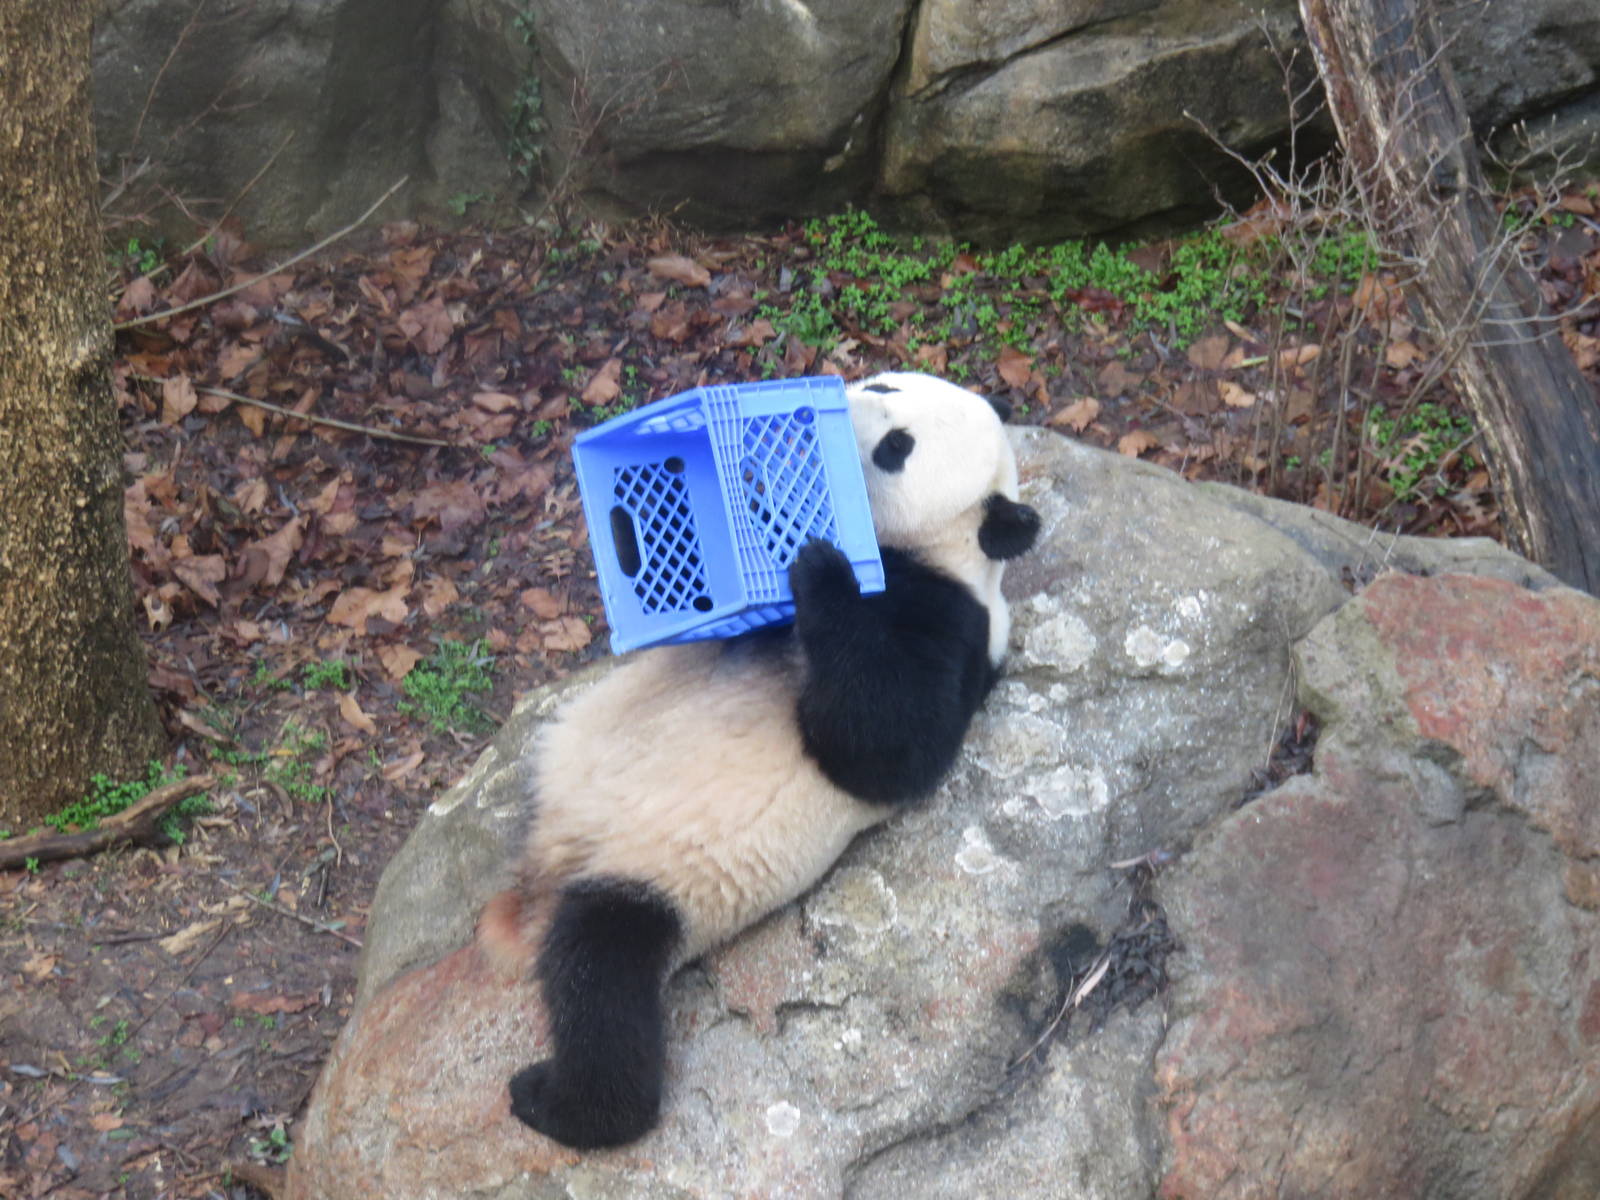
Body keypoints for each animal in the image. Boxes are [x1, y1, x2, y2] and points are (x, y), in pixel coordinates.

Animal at [477, 370, 1041, 1149]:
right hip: (557, 756)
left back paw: (556, 1101)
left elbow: (884, 747)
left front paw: (818, 564)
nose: (836, 396)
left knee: (600, 977)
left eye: (898, 447)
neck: (929, 552)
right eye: (880, 382)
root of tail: (545, 879)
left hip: (656, 881)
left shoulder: (956, 626)